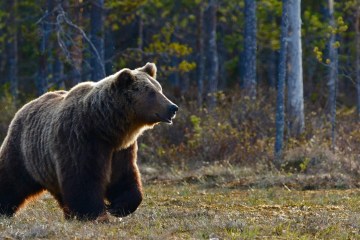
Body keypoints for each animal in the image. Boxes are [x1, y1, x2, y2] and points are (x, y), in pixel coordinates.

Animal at [0, 62, 178, 220]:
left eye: (159, 89)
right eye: (151, 92)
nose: (173, 107)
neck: (104, 127)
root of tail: (25, 106)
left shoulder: (120, 149)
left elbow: (124, 177)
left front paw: (117, 207)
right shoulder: (81, 140)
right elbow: (84, 179)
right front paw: (94, 213)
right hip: (23, 151)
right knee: (11, 179)